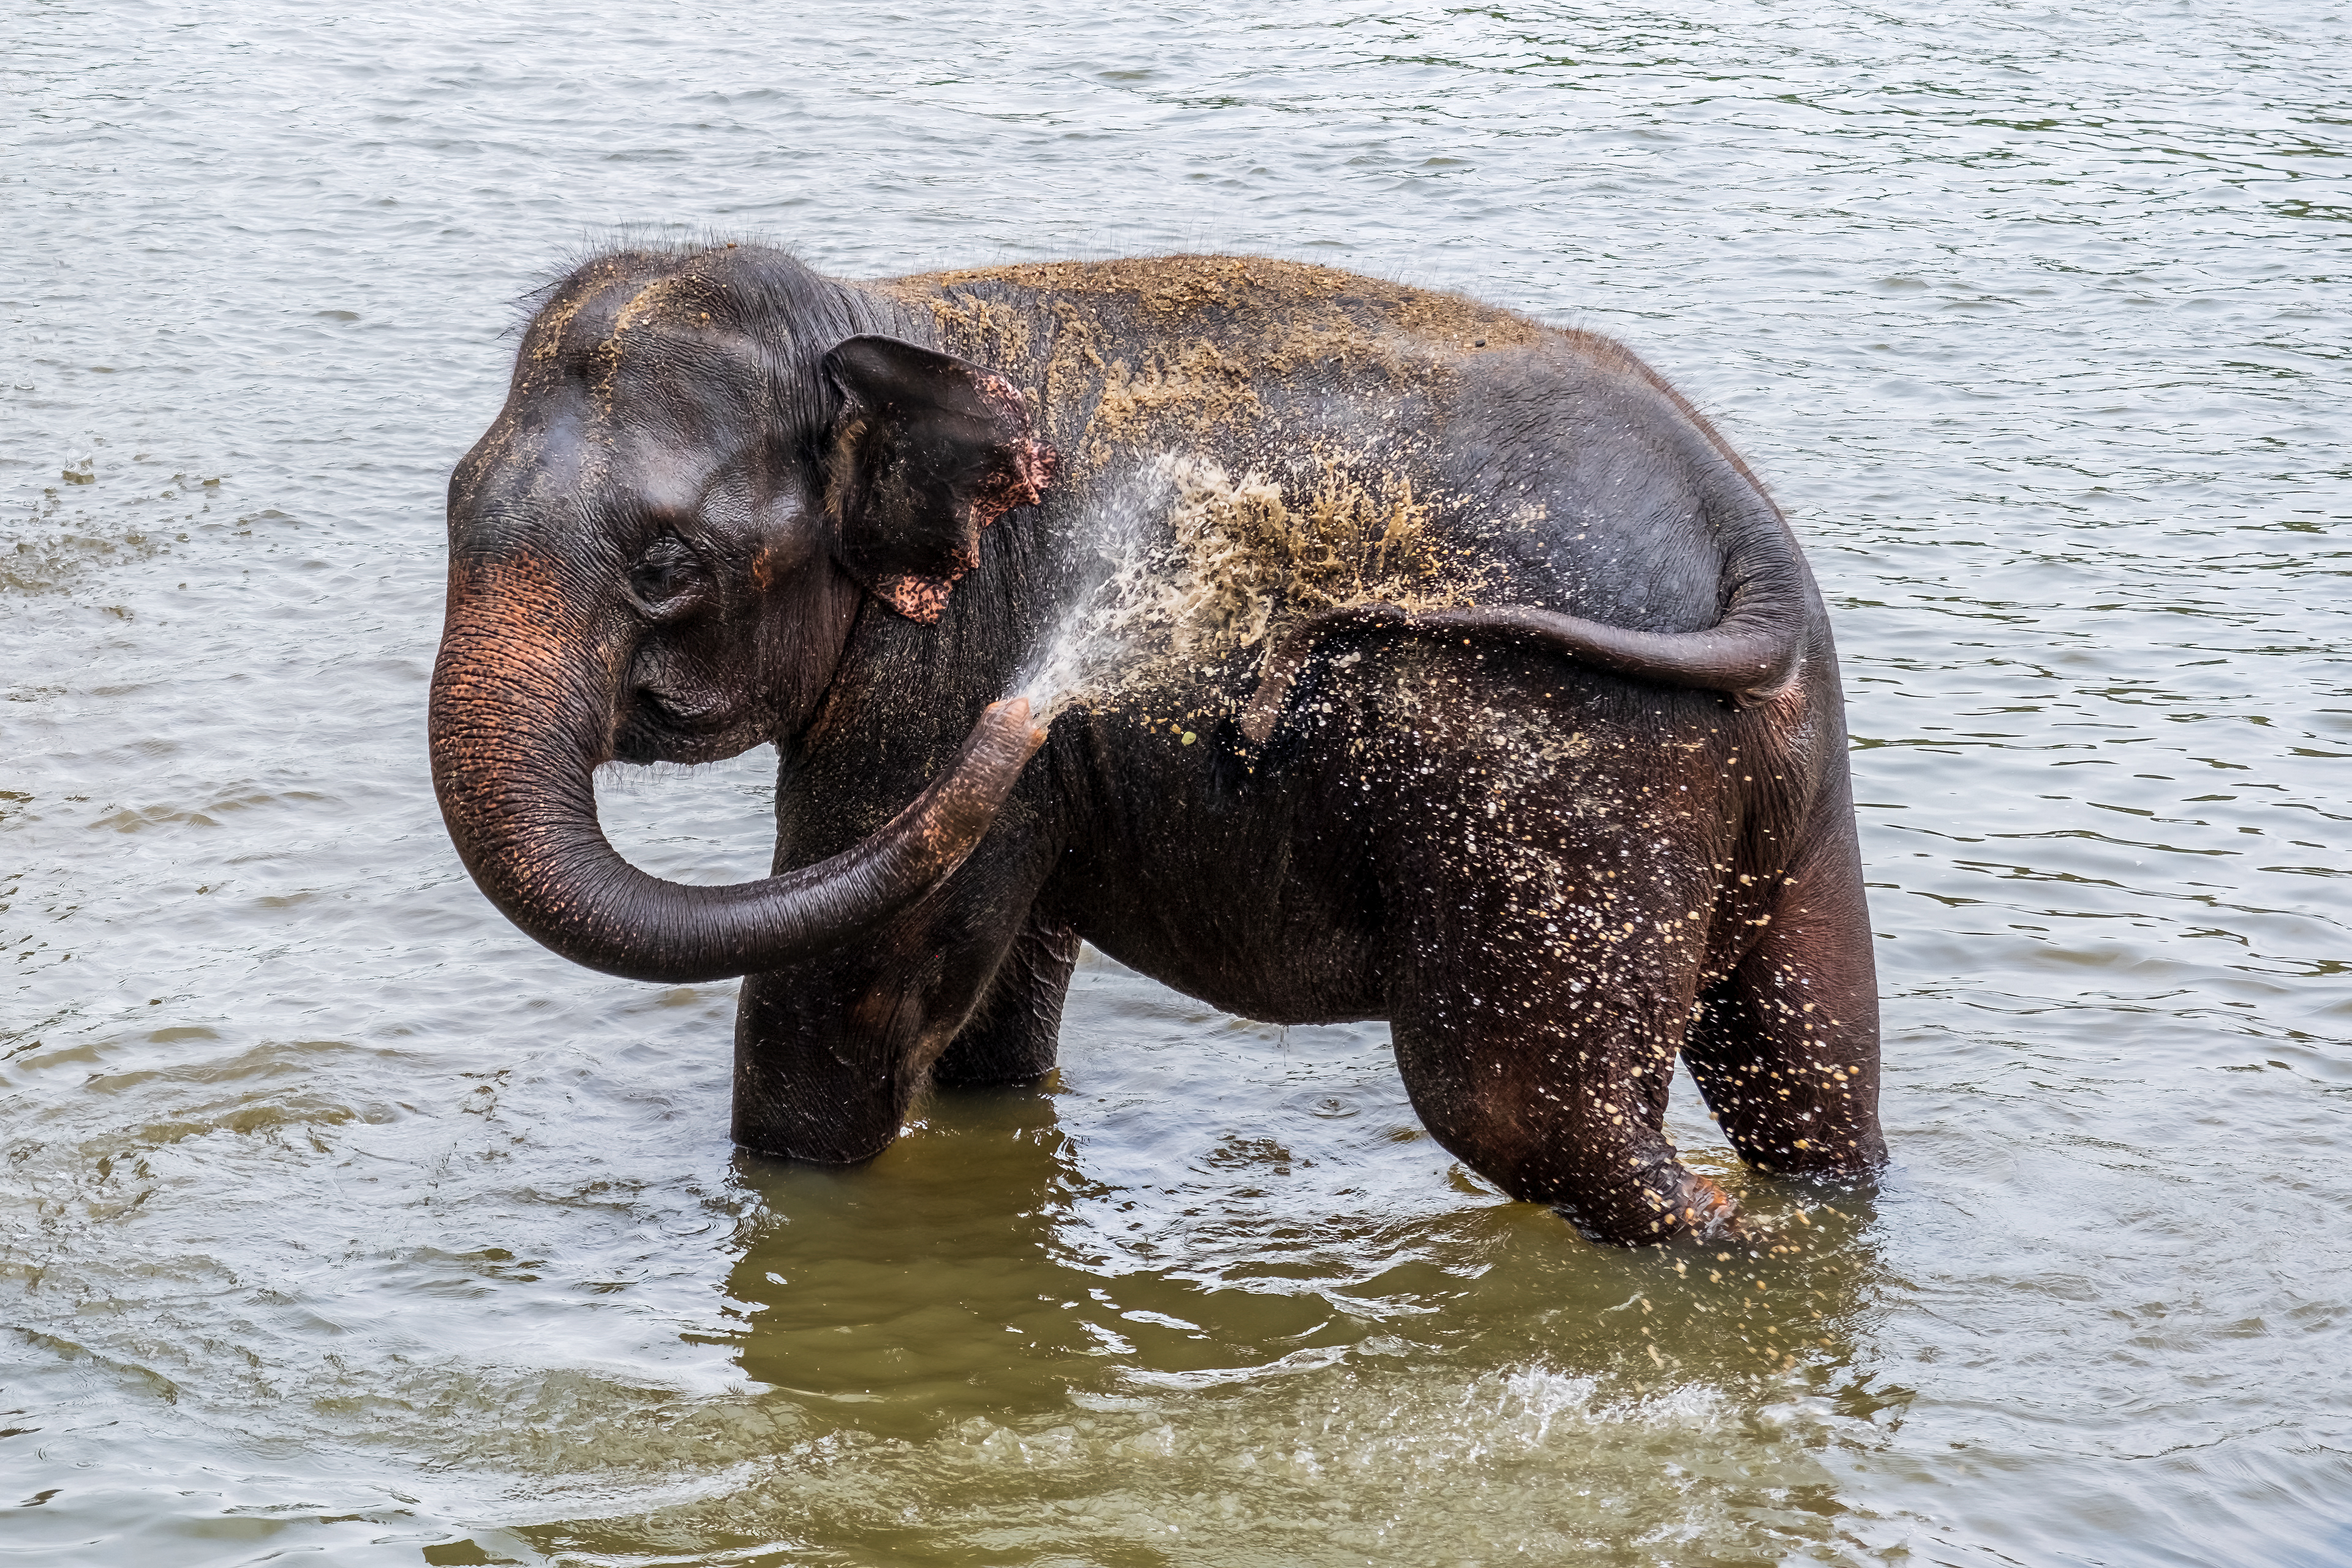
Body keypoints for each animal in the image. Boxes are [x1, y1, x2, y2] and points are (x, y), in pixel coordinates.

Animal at [429, 243, 1886, 1246]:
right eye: (449, 501)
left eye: (665, 564)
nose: (1037, 709)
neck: (874, 313)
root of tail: (1739, 526)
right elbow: (995, 1002)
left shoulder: (942, 672)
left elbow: (851, 1002)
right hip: (1775, 771)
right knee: (1806, 1067)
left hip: (1551, 776)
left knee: (1527, 1114)